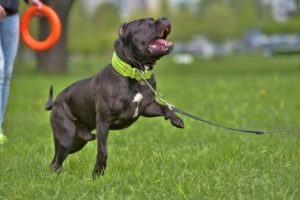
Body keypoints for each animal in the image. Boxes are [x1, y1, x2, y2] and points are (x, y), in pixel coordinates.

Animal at [45, 16, 184, 178]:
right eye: (143, 24)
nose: (164, 17)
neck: (136, 73)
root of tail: (55, 102)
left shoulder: (147, 107)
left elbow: (165, 107)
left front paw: (176, 119)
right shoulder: (103, 123)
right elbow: (102, 151)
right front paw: (97, 174)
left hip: (77, 141)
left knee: (55, 160)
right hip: (67, 138)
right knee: (57, 161)